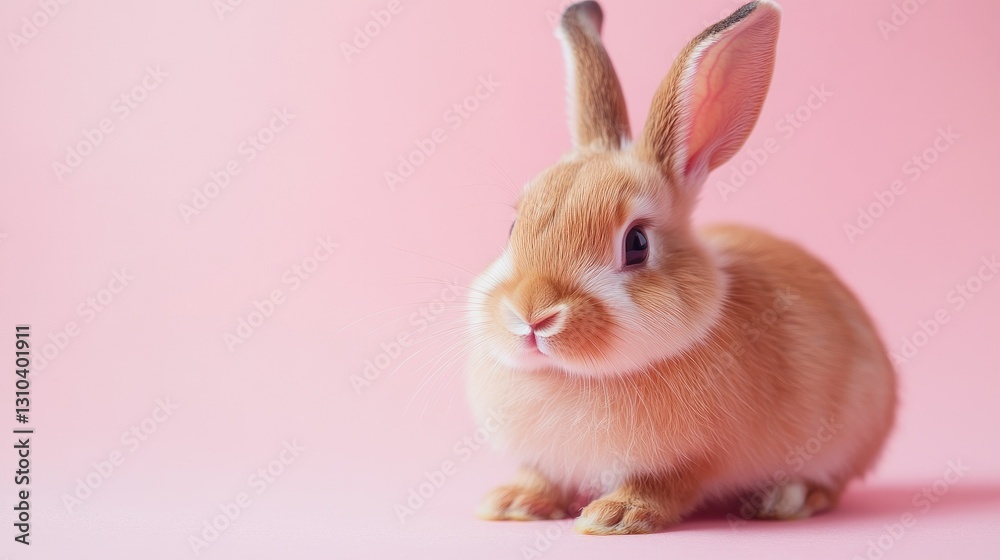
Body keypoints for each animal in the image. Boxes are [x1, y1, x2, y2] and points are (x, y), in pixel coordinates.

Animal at [463, 0, 897, 535]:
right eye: (512, 228)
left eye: (636, 244)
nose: (532, 315)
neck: (571, 377)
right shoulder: (543, 459)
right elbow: (541, 476)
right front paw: (511, 504)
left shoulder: (695, 460)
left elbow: (665, 486)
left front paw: (615, 515)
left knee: (831, 485)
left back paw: (784, 500)